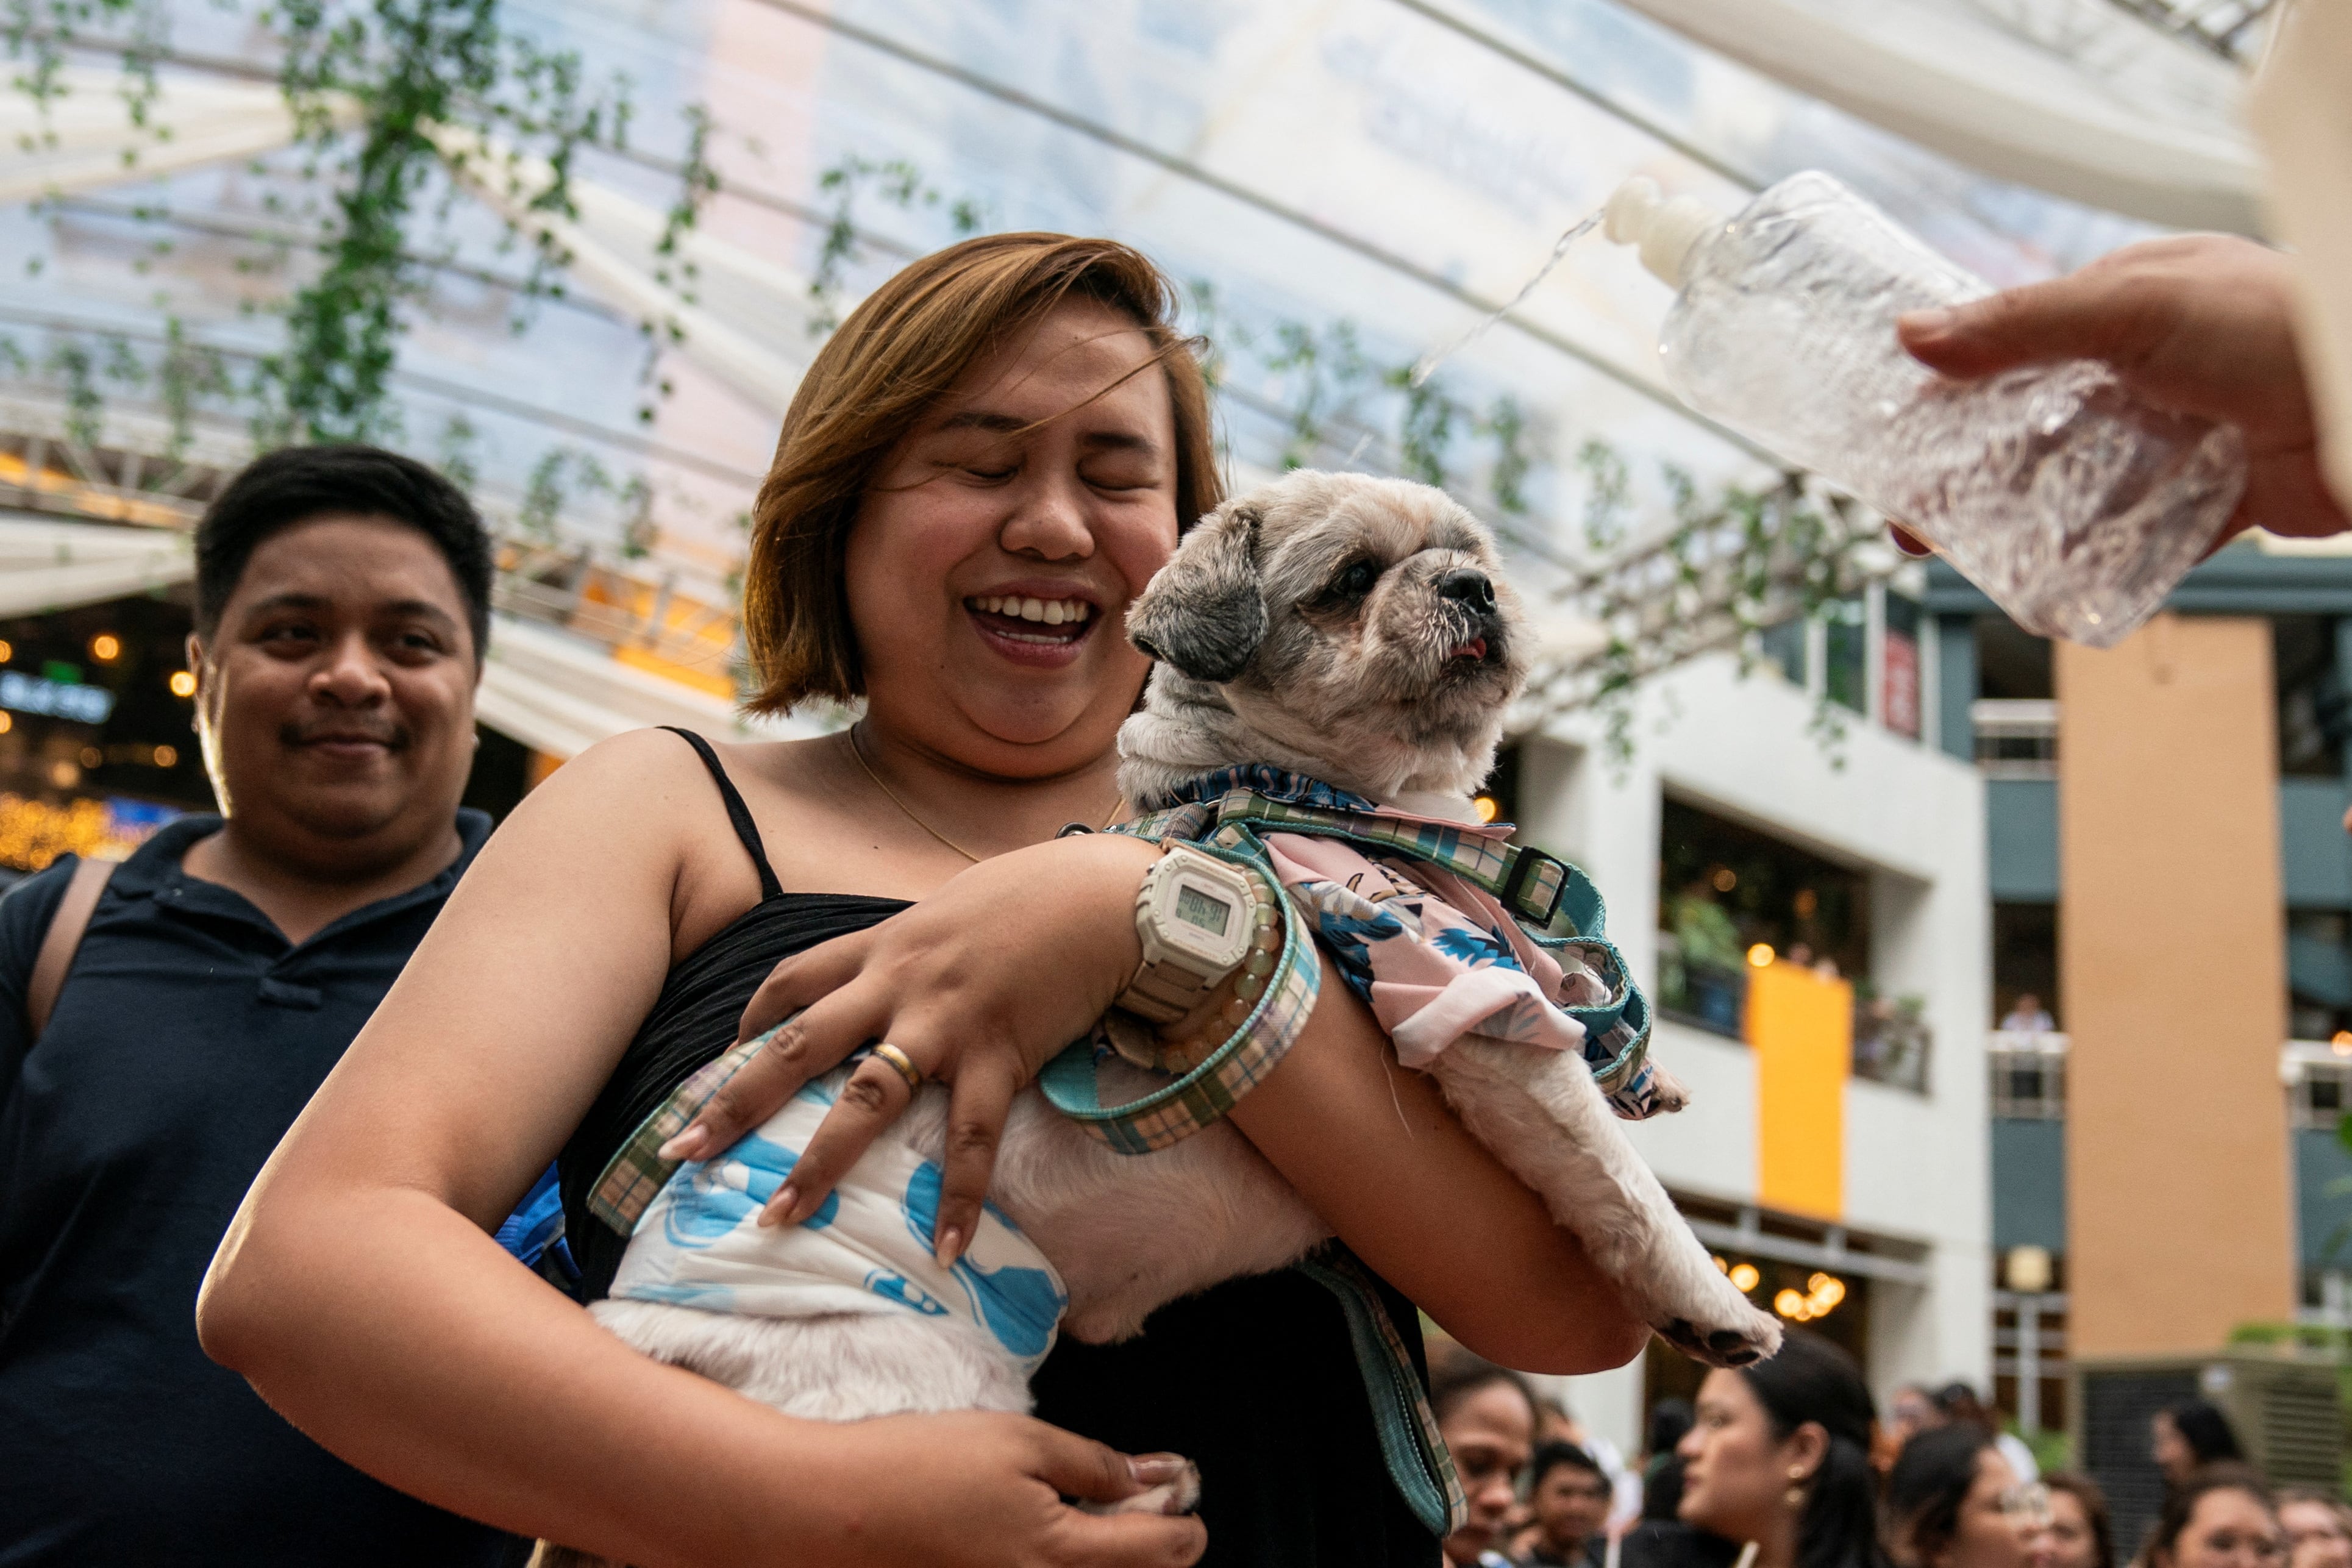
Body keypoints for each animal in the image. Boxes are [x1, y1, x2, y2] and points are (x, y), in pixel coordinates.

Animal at [546, 472, 1769, 1561]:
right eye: (1352, 580)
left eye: (1473, 555)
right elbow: (1620, 1185)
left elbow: (1579, 1007)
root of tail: (653, 1340)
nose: (1468, 587)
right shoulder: (1458, 998)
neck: (1341, 798)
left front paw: (1644, 1071)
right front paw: (1709, 1301)